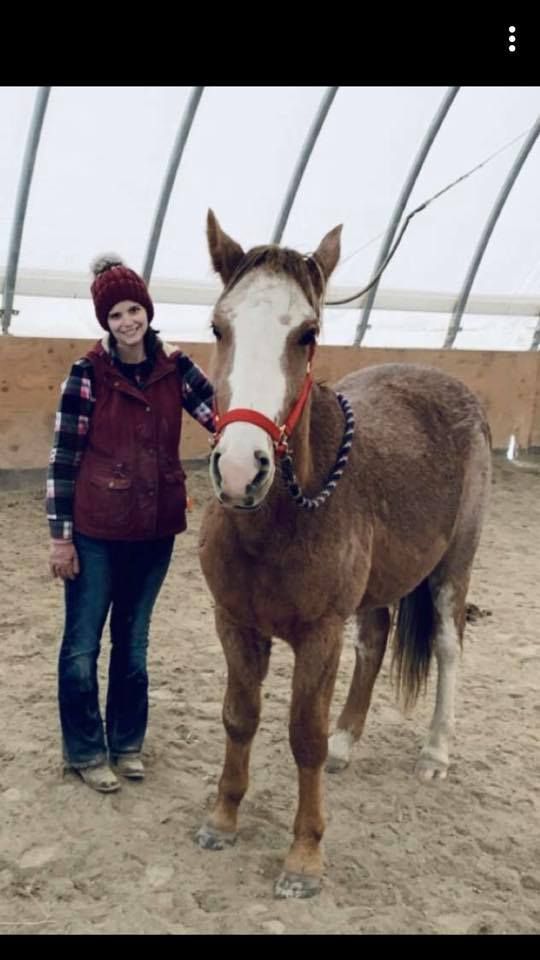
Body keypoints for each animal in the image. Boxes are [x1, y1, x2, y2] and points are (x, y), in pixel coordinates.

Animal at [196, 210, 492, 900]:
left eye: (307, 334)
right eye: (219, 326)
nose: (241, 470)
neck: (277, 523)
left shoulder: (319, 635)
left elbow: (302, 736)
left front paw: (305, 856)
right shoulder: (235, 623)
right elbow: (239, 716)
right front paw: (223, 818)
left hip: (453, 570)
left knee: (448, 646)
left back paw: (435, 753)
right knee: (376, 641)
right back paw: (347, 742)